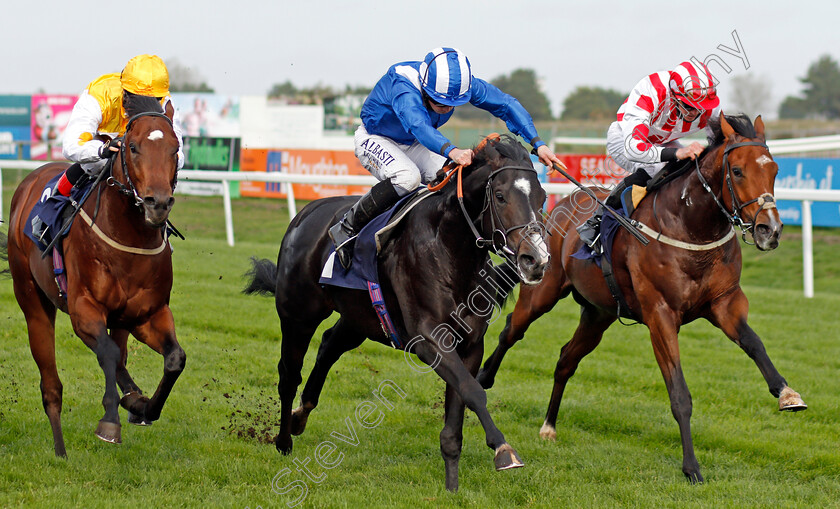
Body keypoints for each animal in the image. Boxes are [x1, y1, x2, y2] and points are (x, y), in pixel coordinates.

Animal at [244, 133, 552, 490]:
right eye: (500, 196)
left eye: (543, 197)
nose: (536, 259)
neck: (448, 248)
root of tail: (307, 212)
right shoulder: (428, 339)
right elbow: (474, 391)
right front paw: (503, 450)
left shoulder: (471, 344)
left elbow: (459, 407)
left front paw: (452, 486)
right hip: (298, 315)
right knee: (289, 374)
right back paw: (283, 441)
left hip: (360, 318)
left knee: (330, 345)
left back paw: (299, 416)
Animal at [476, 113, 804, 482]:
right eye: (737, 171)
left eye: (775, 169)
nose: (770, 230)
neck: (690, 227)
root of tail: (553, 211)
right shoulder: (660, 315)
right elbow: (679, 394)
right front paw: (692, 468)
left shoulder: (725, 302)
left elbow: (754, 343)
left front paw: (787, 393)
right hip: (542, 293)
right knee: (511, 331)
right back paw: (484, 378)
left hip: (598, 314)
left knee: (566, 359)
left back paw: (549, 426)